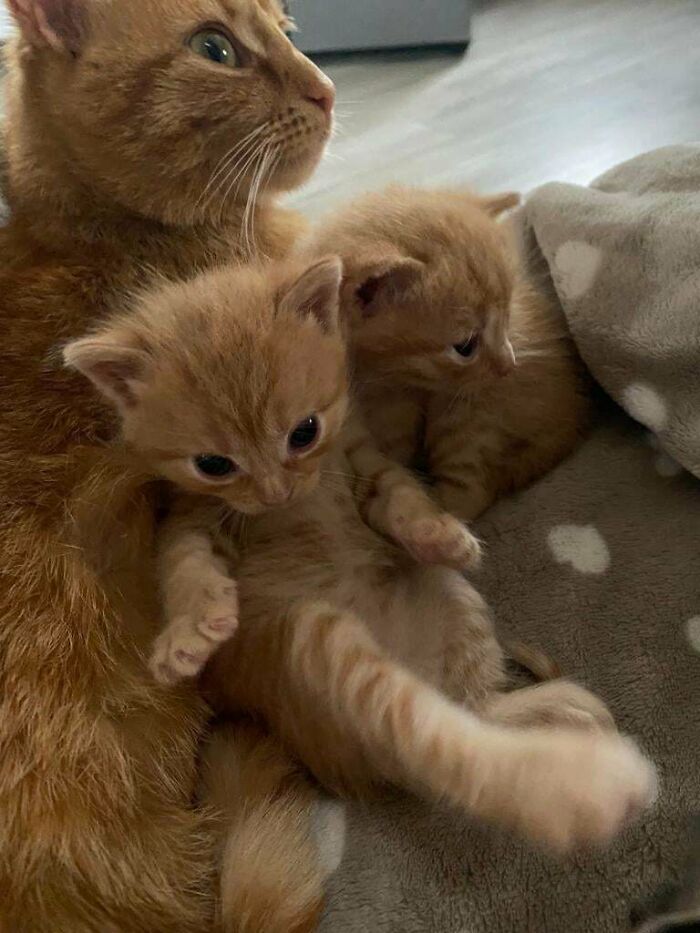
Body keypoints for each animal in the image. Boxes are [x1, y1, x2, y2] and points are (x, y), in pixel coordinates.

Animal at [65, 256, 656, 896]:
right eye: (214, 464)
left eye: (304, 431)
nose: (275, 491)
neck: (304, 497)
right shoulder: (189, 515)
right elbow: (184, 563)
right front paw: (190, 634)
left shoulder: (365, 460)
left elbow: (400, 496)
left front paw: (439, 534)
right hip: (317, 640)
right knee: (435, 734)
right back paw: (575, 782)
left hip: (451, 598)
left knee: (477, 706)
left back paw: (561, 716)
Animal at [302, 186, 592, 520]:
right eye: (465, 347)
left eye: (507, 317)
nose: (510, 366)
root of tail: (571, 423)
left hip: (464, 415)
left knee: (466, 496)